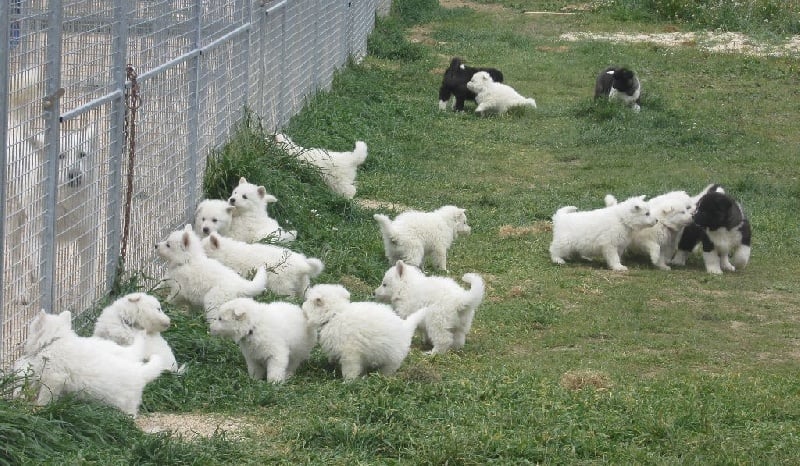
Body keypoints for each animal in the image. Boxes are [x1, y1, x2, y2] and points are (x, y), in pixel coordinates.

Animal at [12, 312, 166, 416]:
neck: (55, 340)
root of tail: (139, 372)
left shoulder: (54, 378)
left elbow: (45, 397)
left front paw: (40, 408)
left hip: (124, 404)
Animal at [300, 284, 428, 378]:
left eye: (308, 301)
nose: (302, 305)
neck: (335, 314)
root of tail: (405, 327)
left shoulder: (350, 354)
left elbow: (350, 370)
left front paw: (348, 382)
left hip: (393, 357)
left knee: (389, 368)